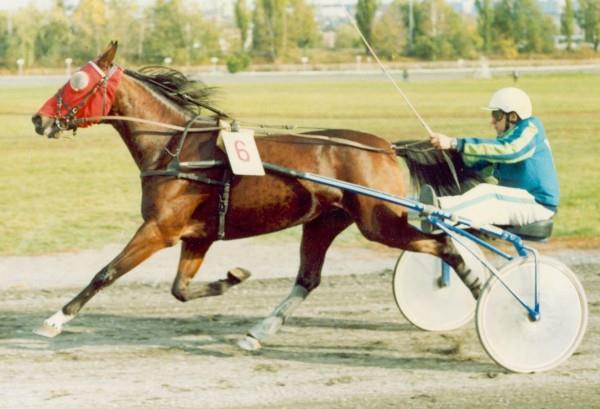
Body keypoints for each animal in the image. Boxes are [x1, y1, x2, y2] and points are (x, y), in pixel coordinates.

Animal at [31, 40, 482, 348]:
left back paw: (484, 293)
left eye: (77, 83)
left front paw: (55, 319)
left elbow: (105, 272)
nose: (38, 119)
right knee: (307, 278)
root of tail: (387, 147)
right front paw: (232, 278)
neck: (176, 147)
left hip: (379, 222)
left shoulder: (159, 229)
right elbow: (180, 290)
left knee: (443, 244)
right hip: (324, 221)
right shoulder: (198, 235)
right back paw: (258, 331)